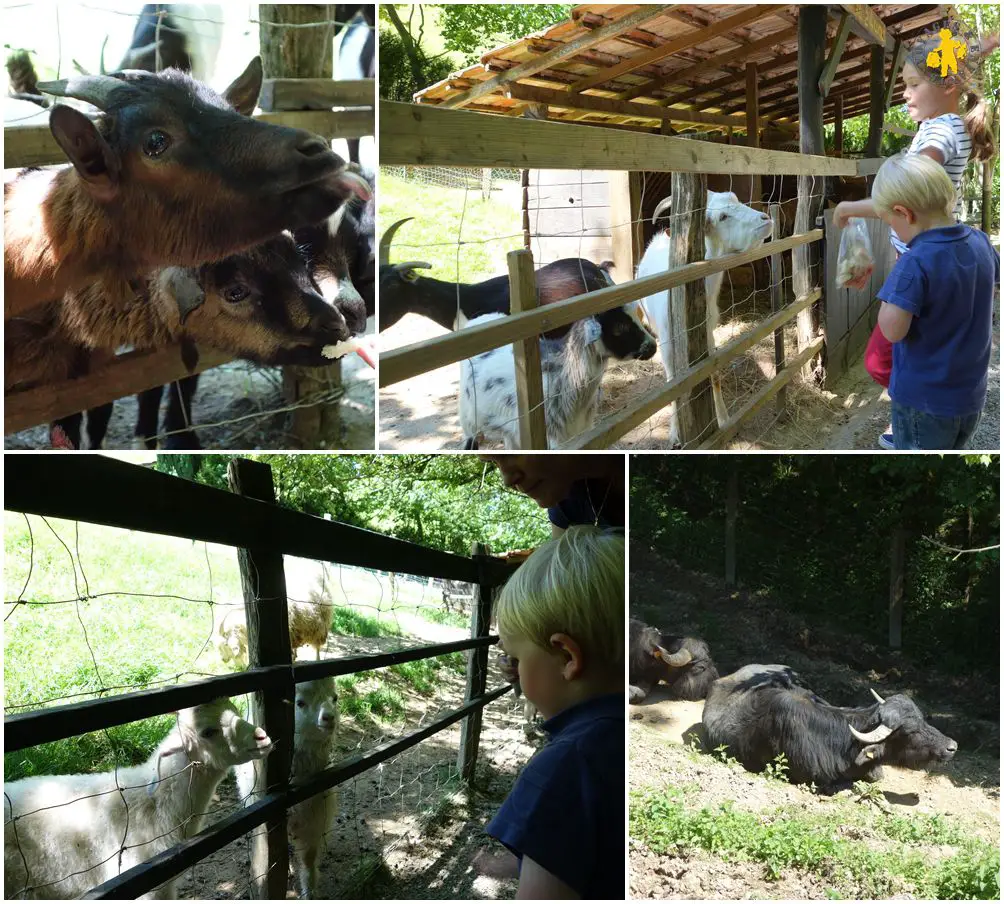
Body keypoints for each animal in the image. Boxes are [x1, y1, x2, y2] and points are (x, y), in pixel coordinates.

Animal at [236, 679, 339, 895]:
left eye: (335, 698)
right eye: (299, 703)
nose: (329, 717)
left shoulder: (314, 823)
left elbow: (308, 862)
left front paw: (310, 893)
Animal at [638, 191, 771, 443]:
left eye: (735, 199)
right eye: (723, 217)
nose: (766, 219)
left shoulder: (708, 334)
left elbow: (714, 374)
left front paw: (724, 420)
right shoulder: (667, 343)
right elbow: (672, 384)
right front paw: (674, 434)